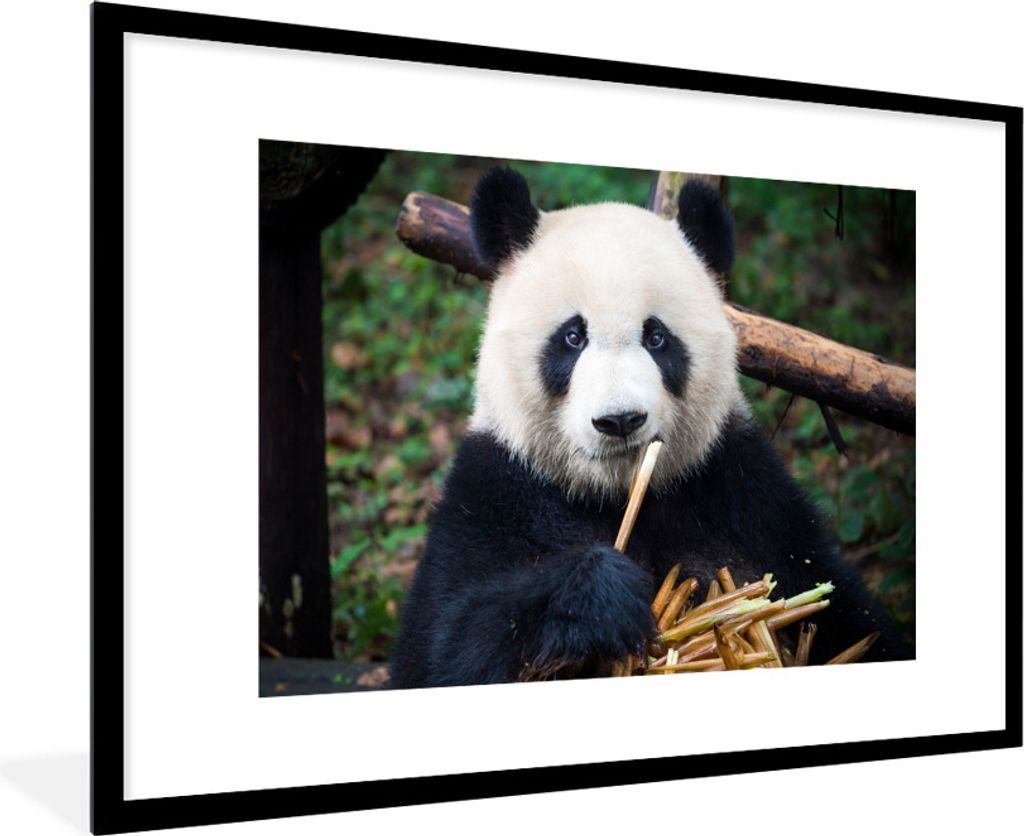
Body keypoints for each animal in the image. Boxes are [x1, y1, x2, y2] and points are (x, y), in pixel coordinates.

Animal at [390, 166, 911, 688]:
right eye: (572, 337)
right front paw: (603, 596)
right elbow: (443, 649)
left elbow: (845, 615)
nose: (620, 420)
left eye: (657, 337)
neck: (617, 495)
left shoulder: (746, 492)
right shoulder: (492, 495)